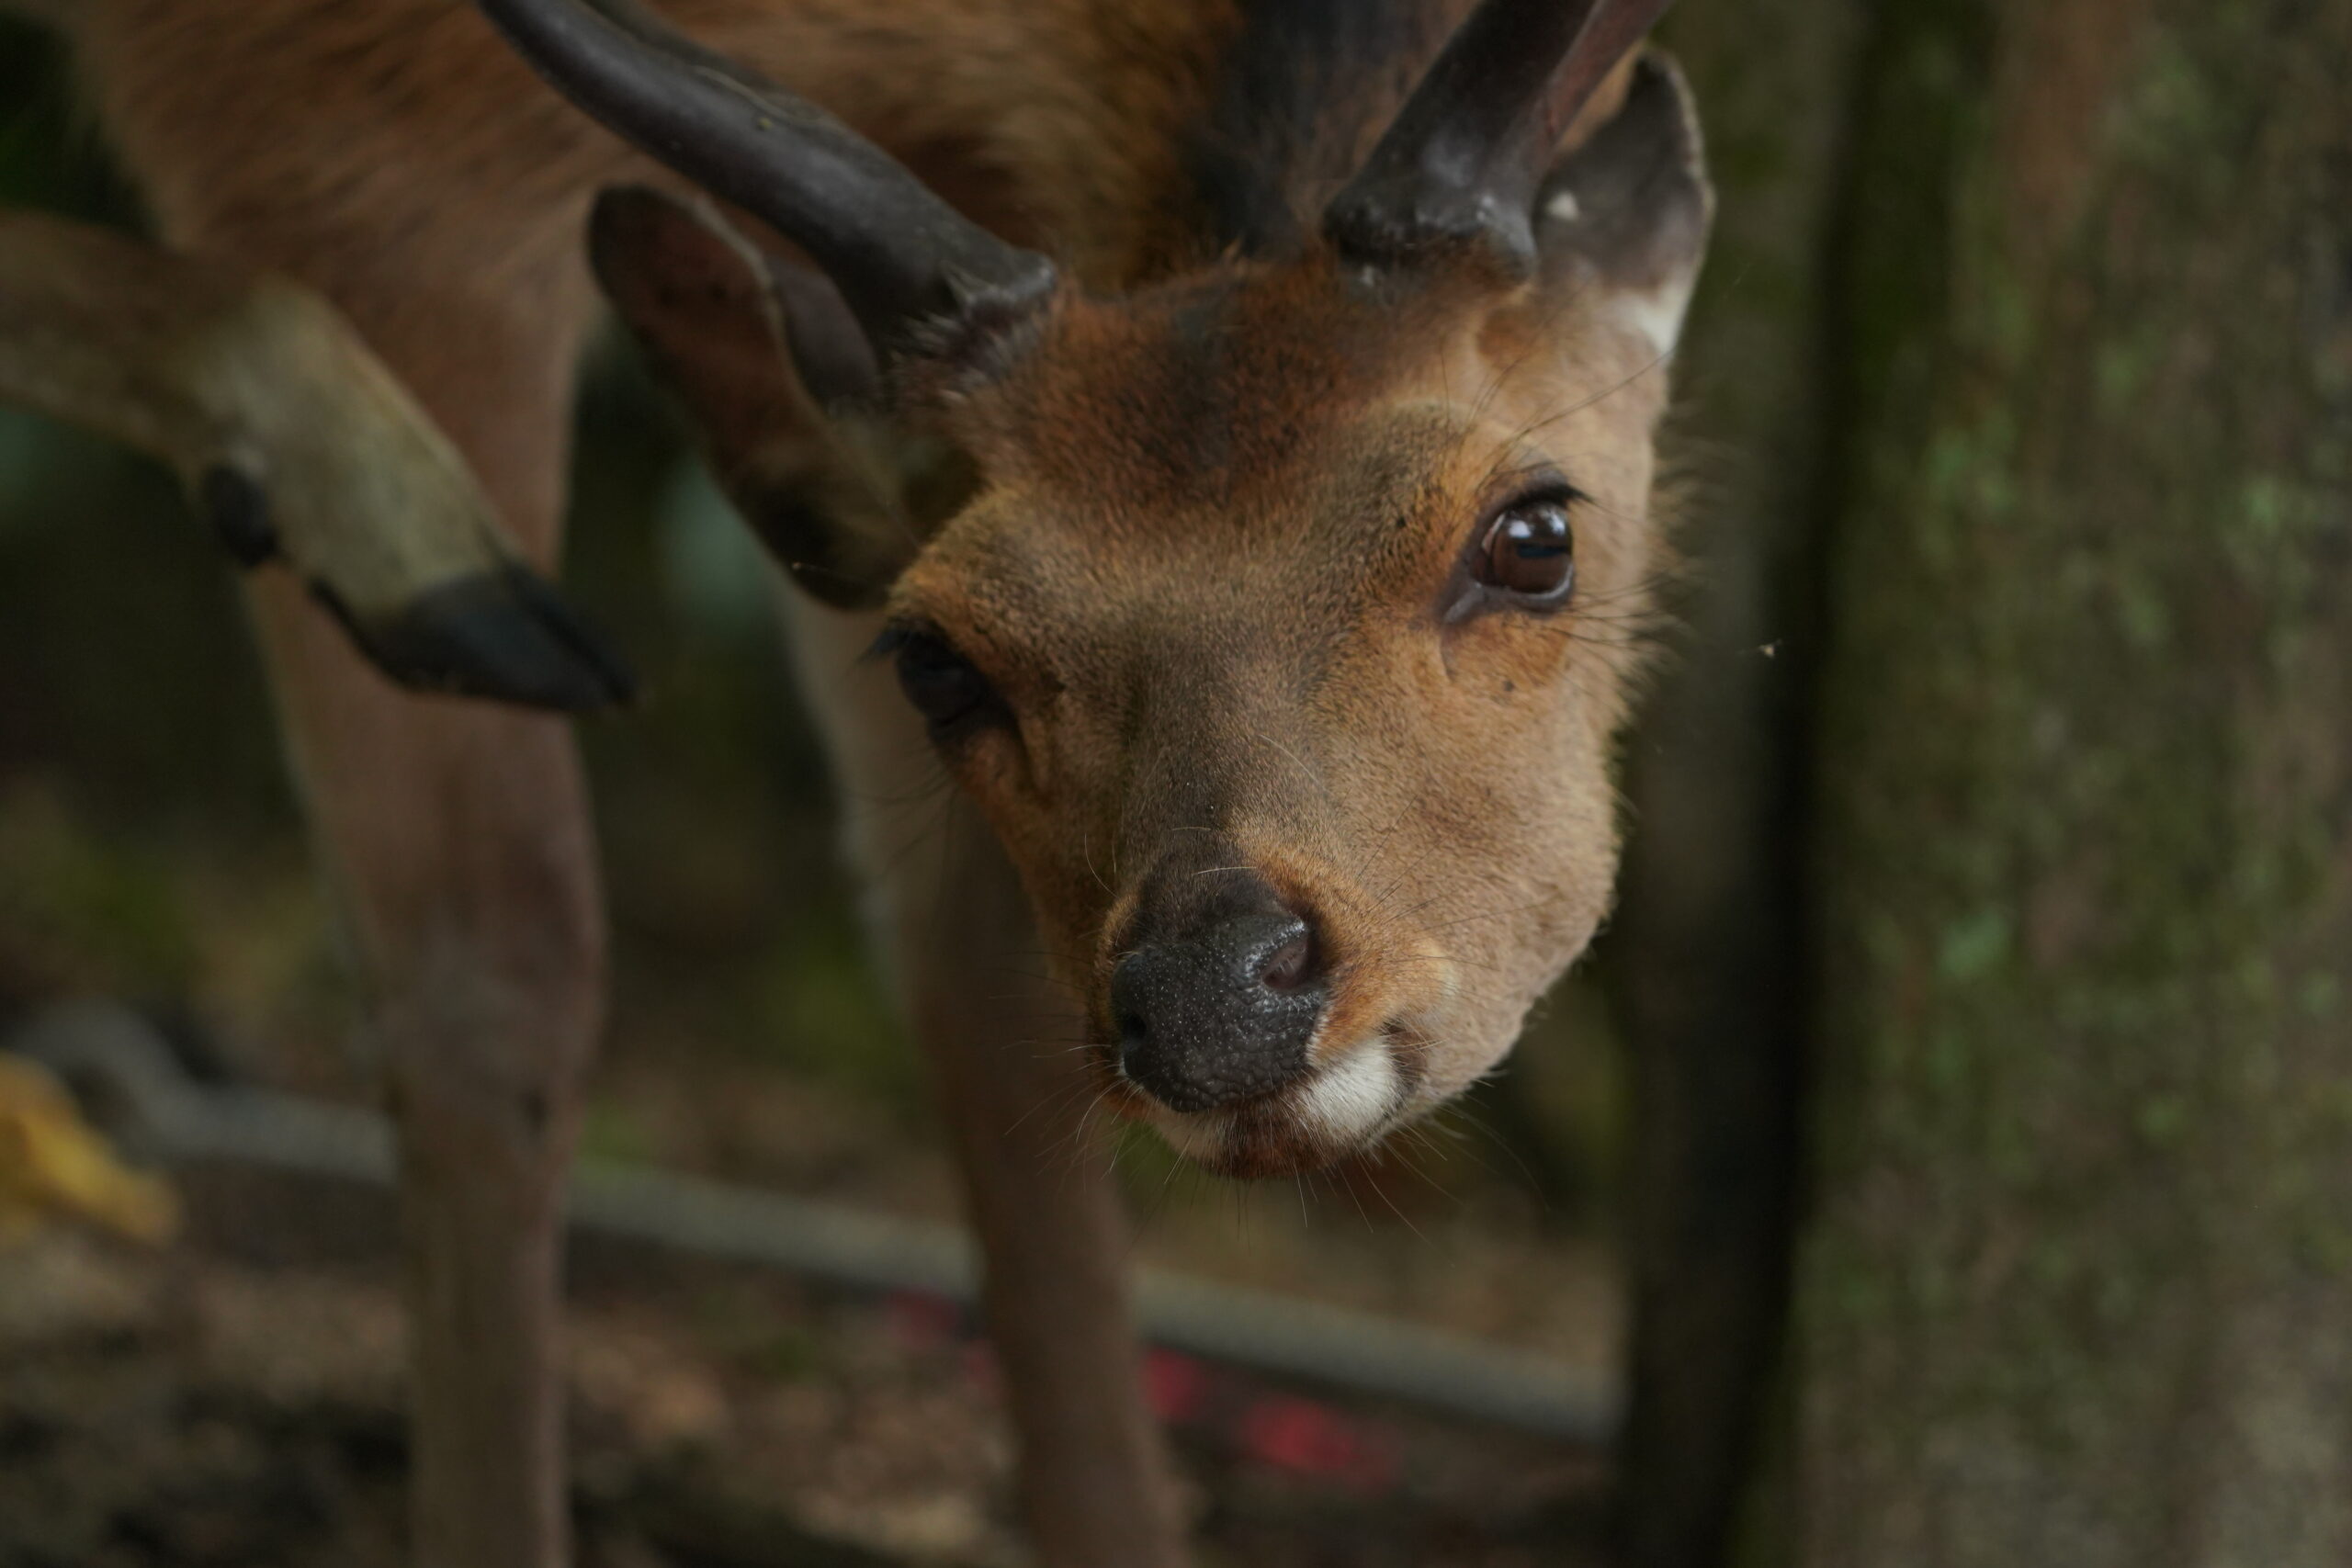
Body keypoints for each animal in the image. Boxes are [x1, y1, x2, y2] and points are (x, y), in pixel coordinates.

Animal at [10, 0, 1711, 1562]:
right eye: (941, 656)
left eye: (1533, 530)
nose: (1218, 990)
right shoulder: (328, 137)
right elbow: (492, 986)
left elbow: (966, 992)